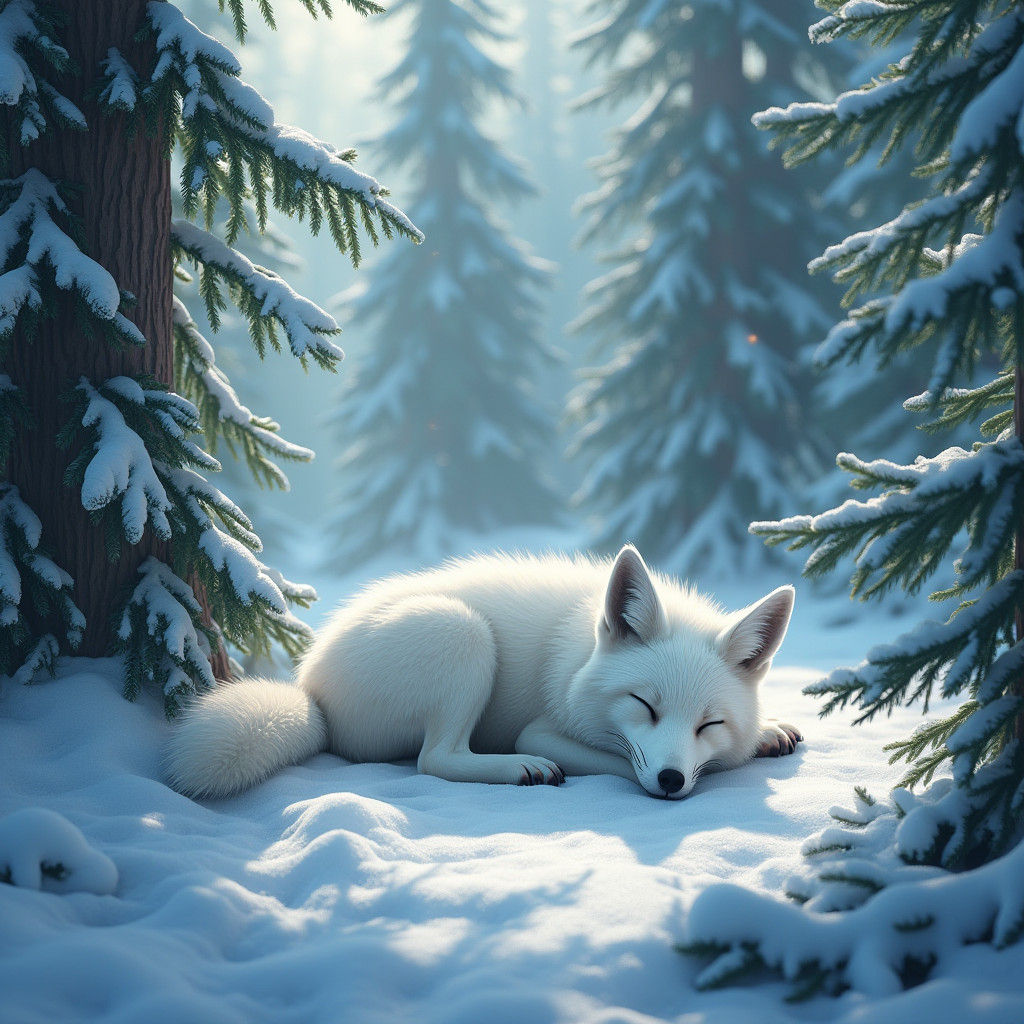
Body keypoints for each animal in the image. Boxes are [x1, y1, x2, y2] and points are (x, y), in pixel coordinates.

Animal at [166, 545, 802, 801]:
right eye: (644, 706)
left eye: (709, 724)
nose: (670, 781)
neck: (580, 653)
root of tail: (310, 692)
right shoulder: (546, 728)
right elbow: (616, 761)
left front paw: (768, 731)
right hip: (463, 633)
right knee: (434, 760)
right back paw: (519, 771)